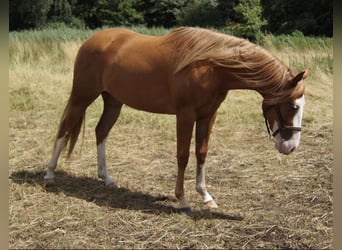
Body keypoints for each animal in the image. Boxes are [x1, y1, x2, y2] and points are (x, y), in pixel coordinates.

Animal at [44, 26, 308, 211]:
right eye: (293, 106)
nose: (291, 147)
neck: (210, 66)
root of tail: (91, 41)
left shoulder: (208, 115)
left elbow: (201, 152)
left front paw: (206, 197)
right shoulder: (185, 114)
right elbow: (183, 155)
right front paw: (182, 199)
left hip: (113, 101)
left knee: (101, 131)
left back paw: (106, 178)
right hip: (82, 96)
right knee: (64, 128)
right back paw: (49, 174)